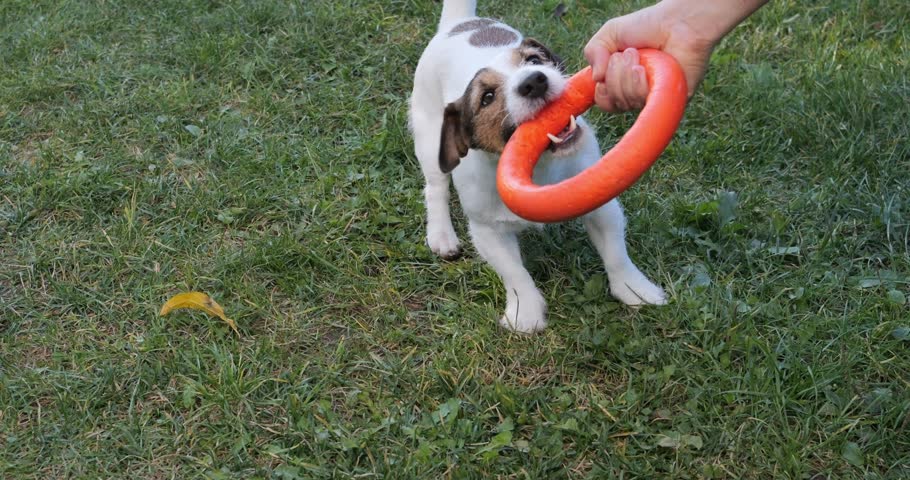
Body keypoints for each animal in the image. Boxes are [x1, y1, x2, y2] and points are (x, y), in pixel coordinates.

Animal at [410, 0, 668, 332]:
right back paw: (442, 235)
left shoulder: (602, 205)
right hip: (430, 141)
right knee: (436, 188)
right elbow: (515, 274)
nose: (534, 81)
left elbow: (616, 253)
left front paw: (636, 290)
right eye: (487, 97)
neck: (541, 167)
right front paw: (526, 316)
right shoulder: (487, 231)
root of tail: (458, 23)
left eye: (534, 60)